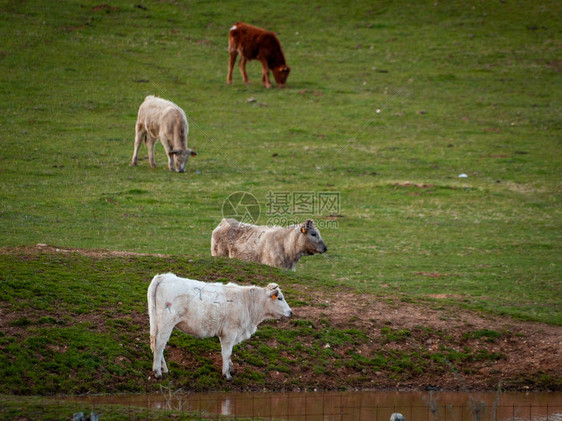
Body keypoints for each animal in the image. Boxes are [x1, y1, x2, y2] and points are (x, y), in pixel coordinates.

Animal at [147, 270, 290, 378]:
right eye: (280, 298)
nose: (291, 312)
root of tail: (164, 276)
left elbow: (229, 354)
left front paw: (230, 368)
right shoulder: (229, 333)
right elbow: (227, 353)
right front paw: (227, 374)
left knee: (158, 345)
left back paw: (163, 368)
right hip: (166, 323)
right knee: (159, 345)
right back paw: (157, 372)